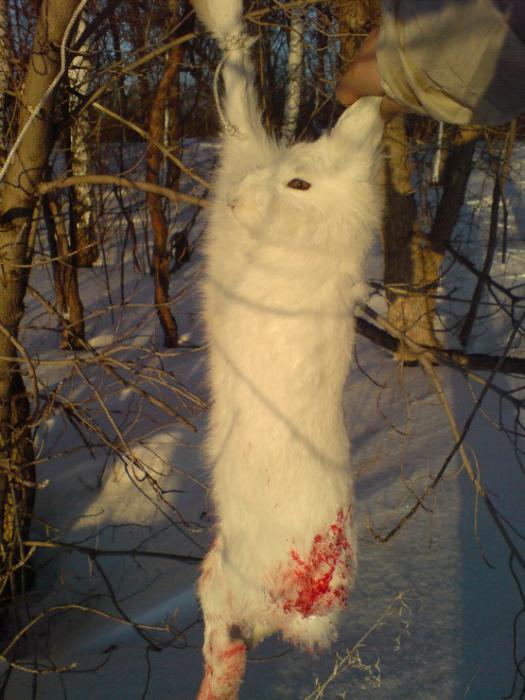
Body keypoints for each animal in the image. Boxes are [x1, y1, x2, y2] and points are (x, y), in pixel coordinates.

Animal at [191, 1, 384, 697]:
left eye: (300, 183)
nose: (236, 200)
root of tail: (313, 609)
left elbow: (240, 98)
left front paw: (223, 25)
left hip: (234, 582)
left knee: (220, 633)